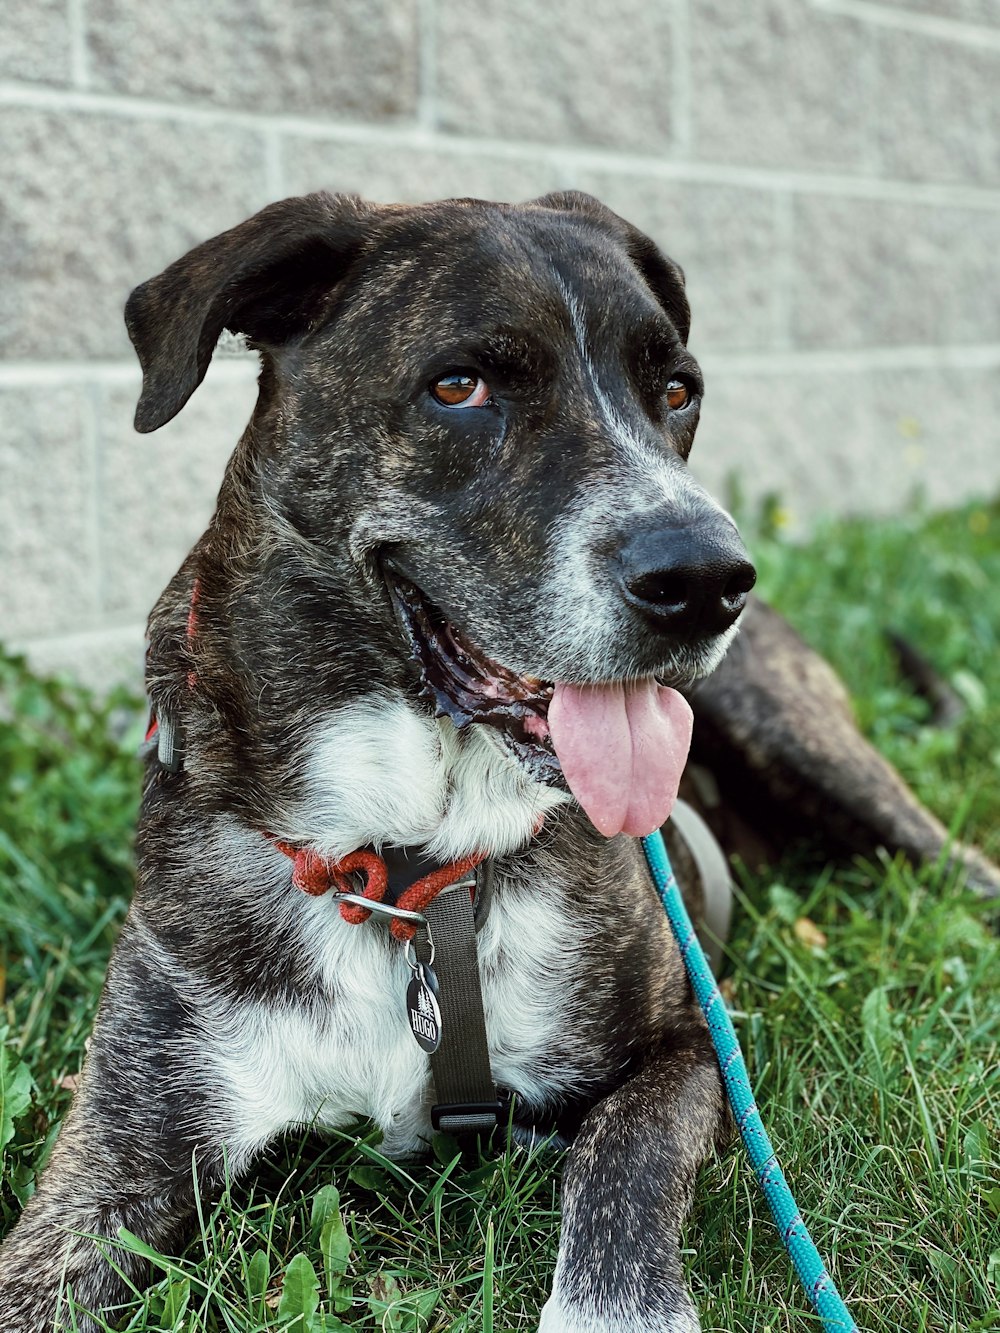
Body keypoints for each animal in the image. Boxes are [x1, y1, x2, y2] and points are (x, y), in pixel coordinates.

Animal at [0, 190, 997, 1333]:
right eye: (459, 386)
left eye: (675, 393)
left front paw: (616, 1308)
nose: (710, 579)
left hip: (801, 738)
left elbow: (620, 1157)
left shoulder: (693, 1043)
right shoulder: (125, 1143)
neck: (405, 860)